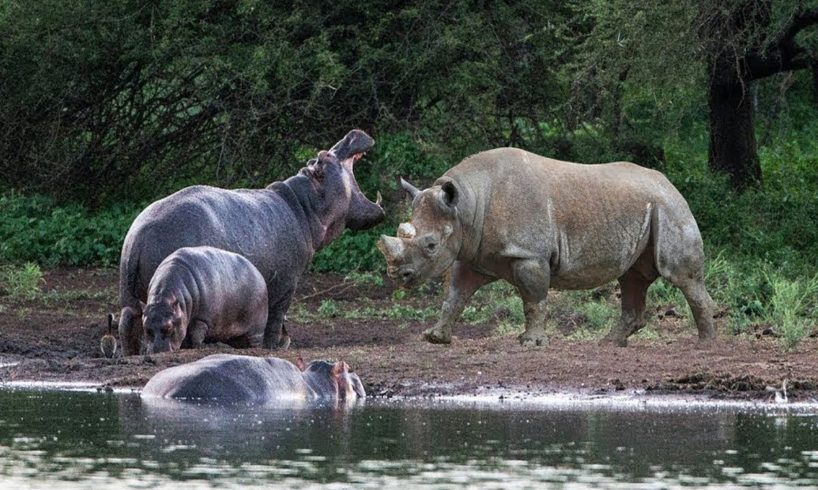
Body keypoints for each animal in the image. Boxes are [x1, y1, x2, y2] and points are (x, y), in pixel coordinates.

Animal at [118, 130, 384, 355]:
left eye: (317, 157)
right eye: (326, 156)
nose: (352, 133)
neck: (305, 204)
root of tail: (139, 235)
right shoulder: (286, 285)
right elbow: (276, 318)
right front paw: (274, 346)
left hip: (130, 293)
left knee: (128, 320)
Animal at [377, 148, 716, 347]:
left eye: (431, 245)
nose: (398, 275)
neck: (466, 204)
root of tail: (671, 185)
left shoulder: (528, 253)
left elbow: (533, 299)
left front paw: (531, 343)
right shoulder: (472, 254)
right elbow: (455, 296)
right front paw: (435, 337)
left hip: (670, 209)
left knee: (678, 275)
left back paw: (704, 345)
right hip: (648, 207)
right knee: (633, 276)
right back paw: (608, 343)